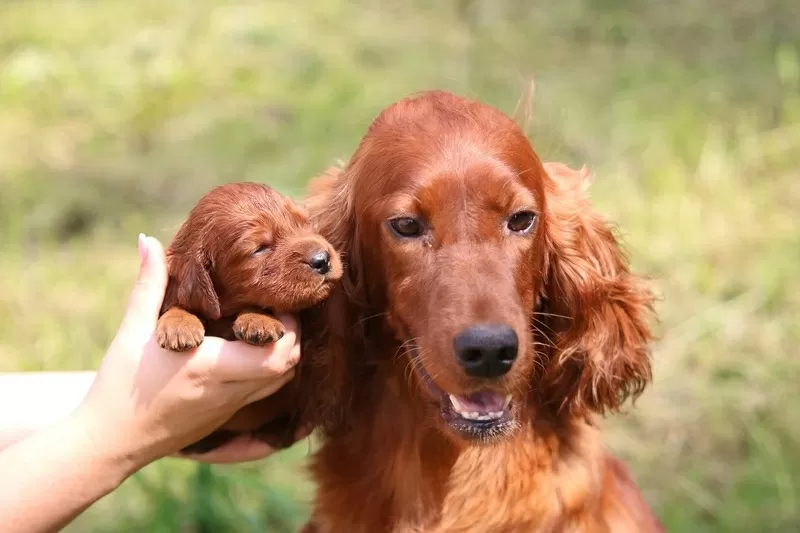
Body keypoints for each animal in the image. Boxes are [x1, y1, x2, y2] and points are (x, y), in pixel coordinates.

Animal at [155, 182, 342, 454]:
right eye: (259, 248)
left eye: (305, 223)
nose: (323, 260)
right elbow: (177, 304)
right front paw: (179, 325)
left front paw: (258, 320)